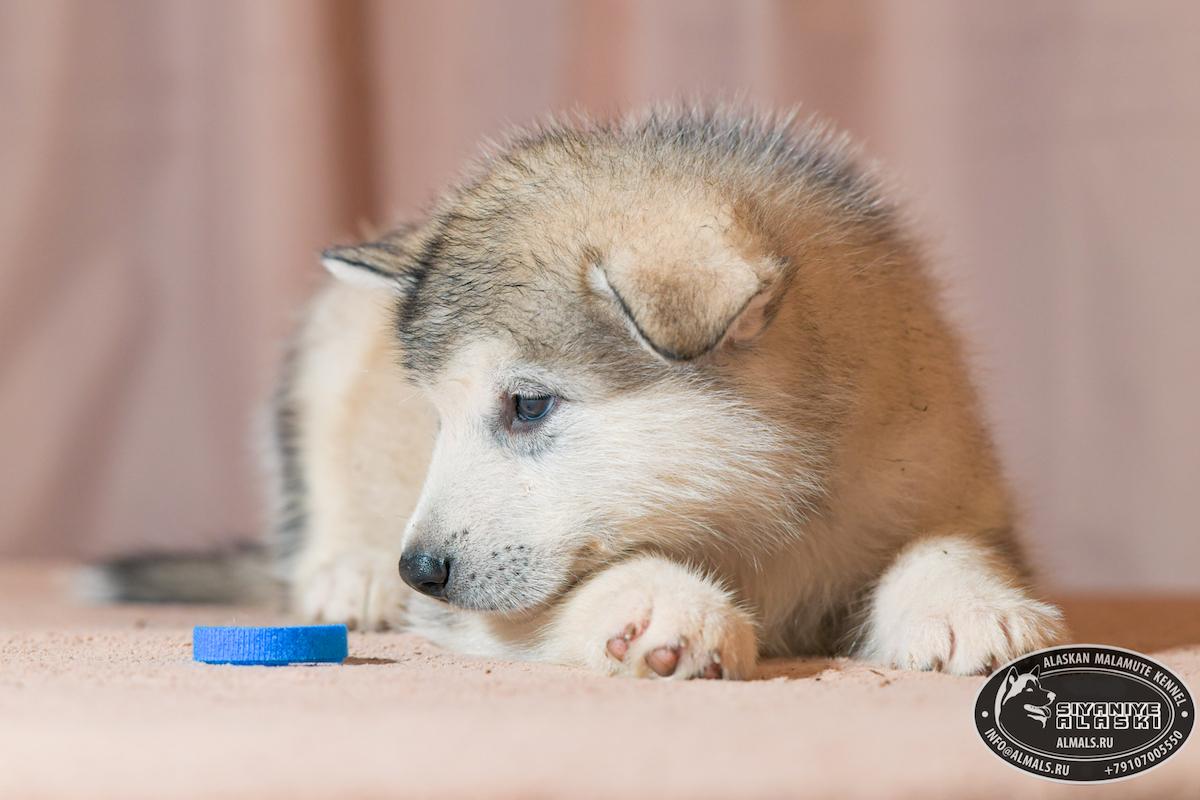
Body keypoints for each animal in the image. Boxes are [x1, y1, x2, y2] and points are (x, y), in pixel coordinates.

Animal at [258, 107, 1065, 681]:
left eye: (528, 405)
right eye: (433, 418)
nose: (419, 570)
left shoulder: (941, 471)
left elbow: (947, 540)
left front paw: (969, 602)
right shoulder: (483, 610)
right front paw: (654, 602)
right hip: (327, 347)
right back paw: (354, 574)